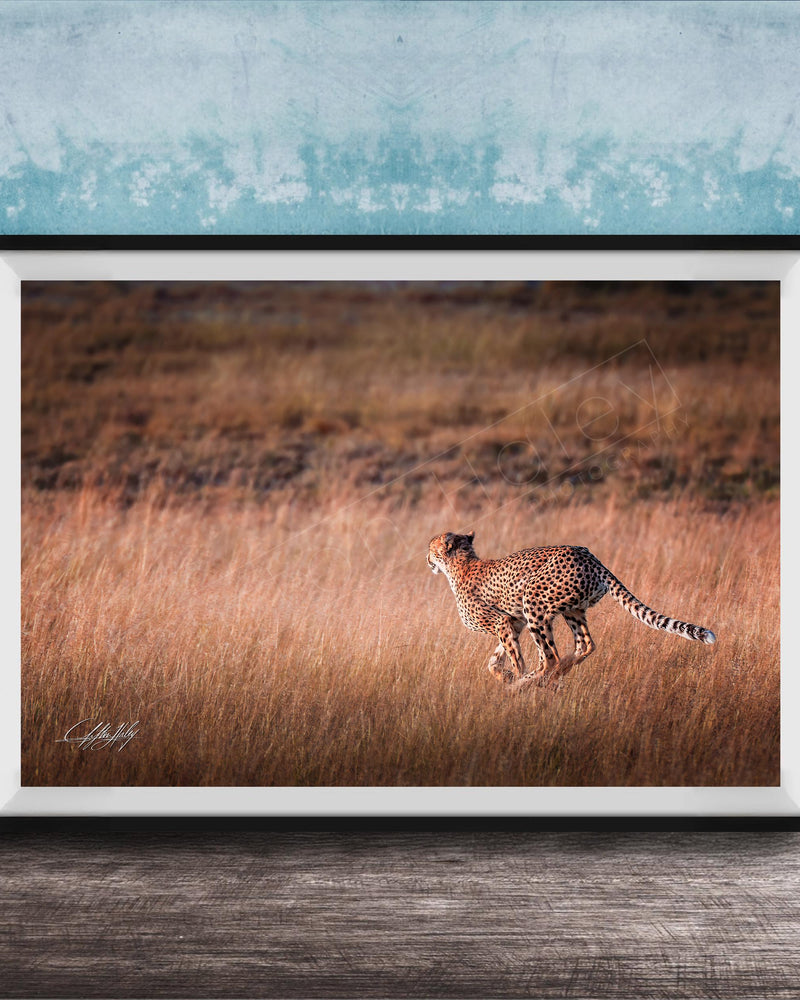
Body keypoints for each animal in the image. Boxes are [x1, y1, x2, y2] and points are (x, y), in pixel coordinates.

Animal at [427, 531, 716, 689]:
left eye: (431, 548)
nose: (427, 559)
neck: (461, 564)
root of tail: (589, 556)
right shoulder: (513, 621)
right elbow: (494, 659)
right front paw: (504, 675)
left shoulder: (502, 622)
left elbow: (515, 657)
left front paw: (514, 679)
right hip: (571, 610)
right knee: (584, 645)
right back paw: (555, 674)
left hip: (534, 601)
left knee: (549, 657)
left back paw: (530, 682)